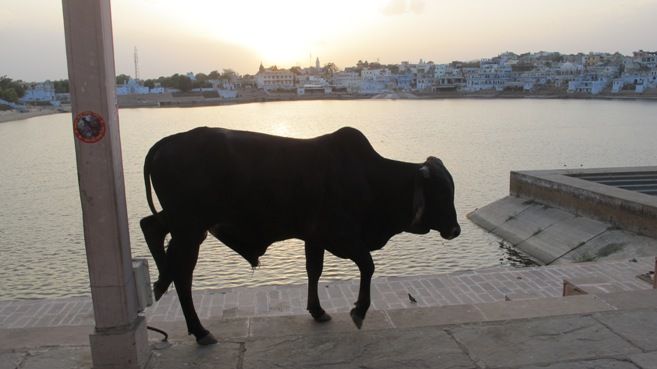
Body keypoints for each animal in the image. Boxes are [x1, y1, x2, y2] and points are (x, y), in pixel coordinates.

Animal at [140, 127, 456, 344]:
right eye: (441, 192)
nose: (456, 229)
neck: (370, 178)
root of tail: (170, 140)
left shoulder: (314, 237)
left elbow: (314, 270)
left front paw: (317, 310)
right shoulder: (341, 236)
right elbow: (368, 266)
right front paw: (359, 311)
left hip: (186, 225)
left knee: (151, 227)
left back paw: (160, 282)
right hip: (190, 228)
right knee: (182, 274)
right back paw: (199, 329)